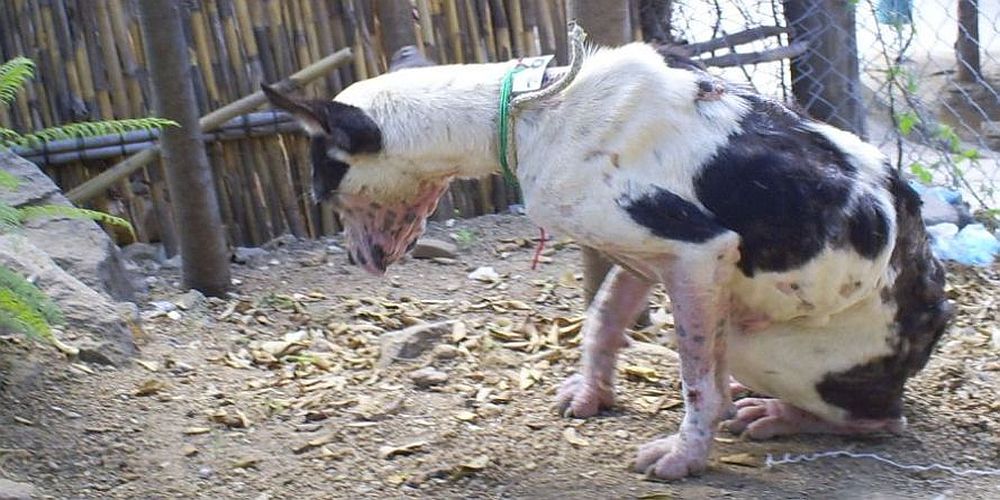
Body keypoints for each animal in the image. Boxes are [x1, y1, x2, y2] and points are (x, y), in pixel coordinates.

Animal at [262, 42, 948, 480]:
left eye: (324, 190)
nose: (357, 259)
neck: (527, 112)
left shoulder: (697, 250)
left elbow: (697, 383)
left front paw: (685, 457)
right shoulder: (646, 257)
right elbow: (602, 321)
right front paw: (593, 392)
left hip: (764, 346)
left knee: (881, 420)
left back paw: (782, 415)